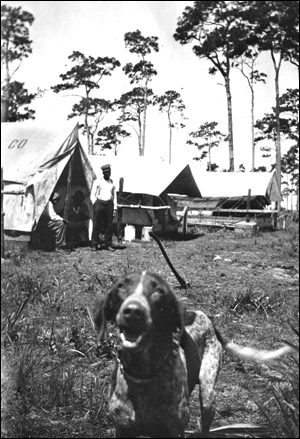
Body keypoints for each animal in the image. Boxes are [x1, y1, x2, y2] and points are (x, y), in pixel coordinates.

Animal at [95, 270, 292, 438]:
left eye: (159, 290)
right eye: (121, 286)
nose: (133, 311)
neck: (143, 373)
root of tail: (206, 318)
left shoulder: (174, 431)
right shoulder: (123, 429)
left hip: (208, 395)